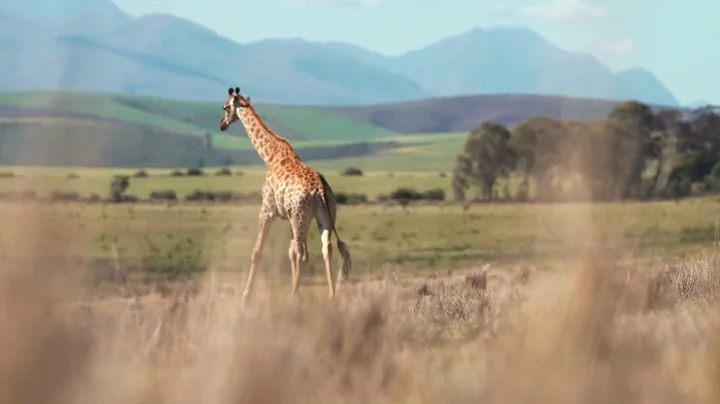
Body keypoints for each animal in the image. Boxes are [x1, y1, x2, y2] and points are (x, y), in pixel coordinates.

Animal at [219, 86, 352, 303]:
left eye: (225, 107)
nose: (222, 124)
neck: (270, 156)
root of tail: (321, 190)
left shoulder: (267, 210)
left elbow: (257, 251)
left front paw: (246, 297)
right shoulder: (288, 217)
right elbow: (291, 253)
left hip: (301, 217)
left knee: (304, 254)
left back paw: (293, 297)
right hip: (323, 217)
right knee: (326, 249)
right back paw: (331, 295)